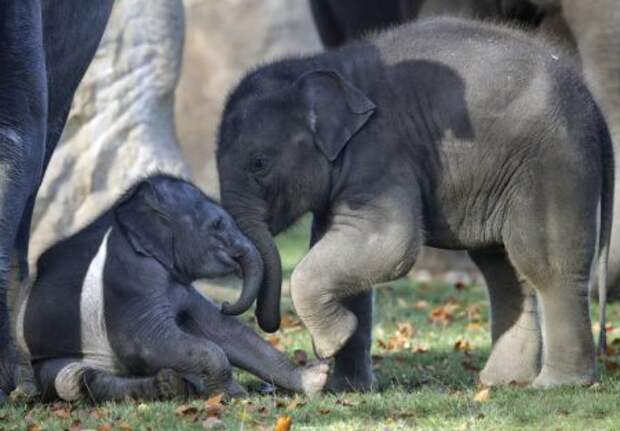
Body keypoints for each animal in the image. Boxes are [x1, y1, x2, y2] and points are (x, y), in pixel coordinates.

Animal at [10, 175, 330, 402]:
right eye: (217, 224)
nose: (227, 303)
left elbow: (225, 332)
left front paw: (317, 378)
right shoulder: (124, 280)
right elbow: (145, 344)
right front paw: (234, 394)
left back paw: (178, 385)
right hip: (45, 361)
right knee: (71, 379)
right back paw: (171, 386)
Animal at [216, 17, 612, 392]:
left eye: (259, 164)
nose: (225, 306)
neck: (320, 63)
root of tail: (593, 103)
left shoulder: (380, 152)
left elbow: (390, 243)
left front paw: (331, 343)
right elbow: (343, 255)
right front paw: (347, 385)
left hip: (554, 163)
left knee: (545, 265)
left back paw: (557, 384)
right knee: (502, 270)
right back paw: (503, 382)